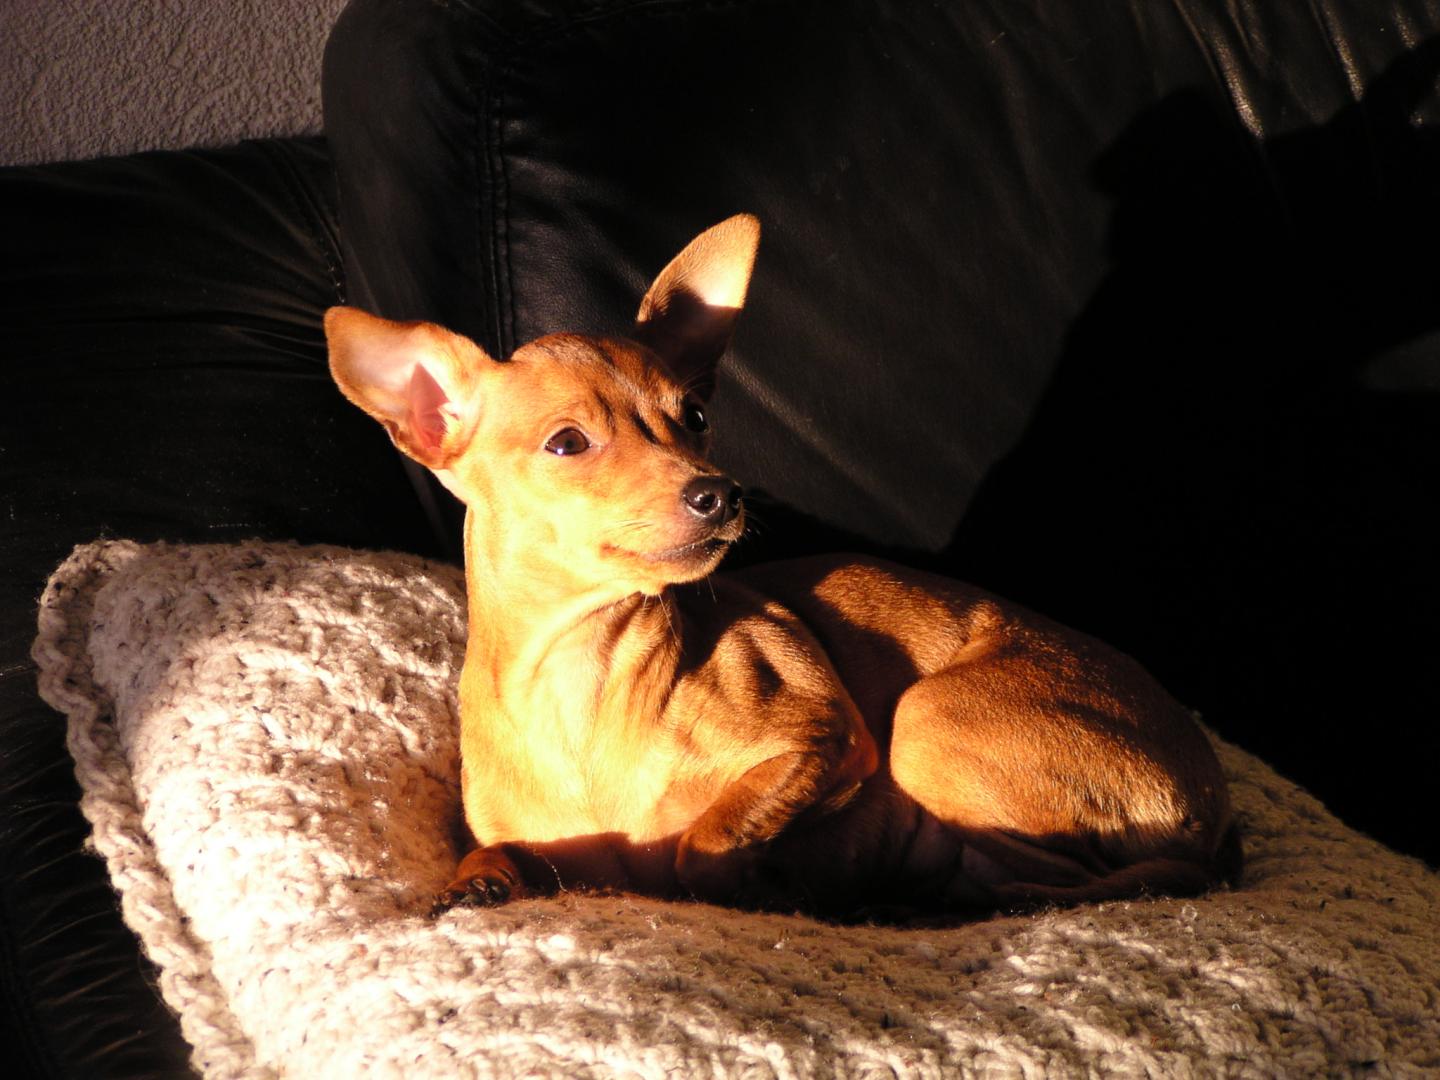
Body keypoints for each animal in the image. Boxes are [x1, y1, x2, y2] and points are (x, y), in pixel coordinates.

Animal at [325, 214, 1239, 916]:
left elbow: (702, 842)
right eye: (567, 444)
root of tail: (1218, 811)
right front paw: (476, 883)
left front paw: (753, 882)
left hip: (929, 725)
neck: (584, 674)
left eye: (696, 417)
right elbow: (504, 854)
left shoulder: (827, 740)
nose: (719, 493)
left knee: (1078, 882)